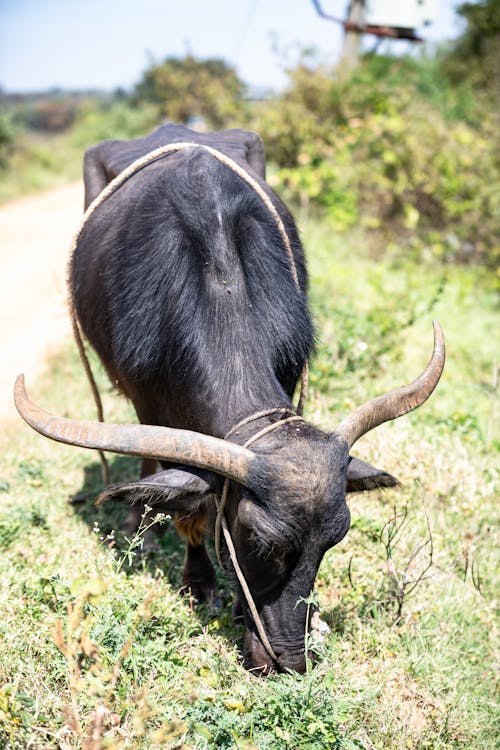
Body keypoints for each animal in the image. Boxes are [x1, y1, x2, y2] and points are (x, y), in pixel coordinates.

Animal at [14, 122, 446, 676]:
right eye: (259, 543)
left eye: (334, 541)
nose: (289, 660)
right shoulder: (153, 408)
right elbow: (186, 507)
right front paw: (198, 582)